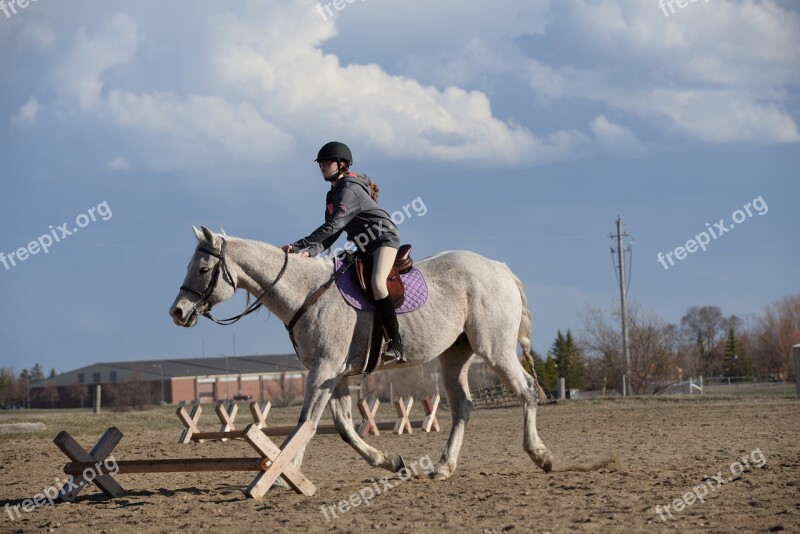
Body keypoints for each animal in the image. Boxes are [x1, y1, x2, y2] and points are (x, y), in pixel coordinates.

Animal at [170, 228, 552, 484]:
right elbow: (341, 428)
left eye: (202, 269)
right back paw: (443, 467)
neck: (306, 293)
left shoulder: (324, 369)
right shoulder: (334, 375)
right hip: (454, 356)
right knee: (463, 406)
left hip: (495, 350)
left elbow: (305, 423)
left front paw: (282, 471)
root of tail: (499, 268)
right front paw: (390, 461)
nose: (177, 312)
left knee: (526, 390)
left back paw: (540, 455)